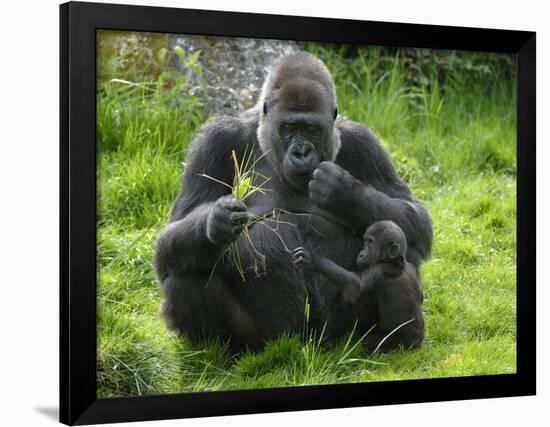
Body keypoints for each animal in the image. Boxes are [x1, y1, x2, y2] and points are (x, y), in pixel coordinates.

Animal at [296, 222, 424, 352]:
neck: (394, 261)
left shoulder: (379, 271)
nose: (361, 253)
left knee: (370, 343)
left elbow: (356, 285)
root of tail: (418, 342)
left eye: (370, 243)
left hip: (402, 344)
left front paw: (315, 261)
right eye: (364, 242)